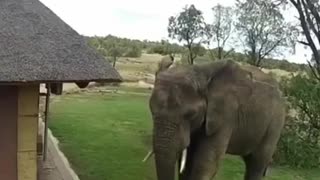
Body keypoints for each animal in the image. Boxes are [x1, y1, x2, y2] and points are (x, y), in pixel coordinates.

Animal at [148, 59, 284, 179]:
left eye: (191, 114)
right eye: (151, 110)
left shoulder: (226, 113)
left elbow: (205, 165)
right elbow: (186, 164)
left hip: (276, 122)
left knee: (257, 162)